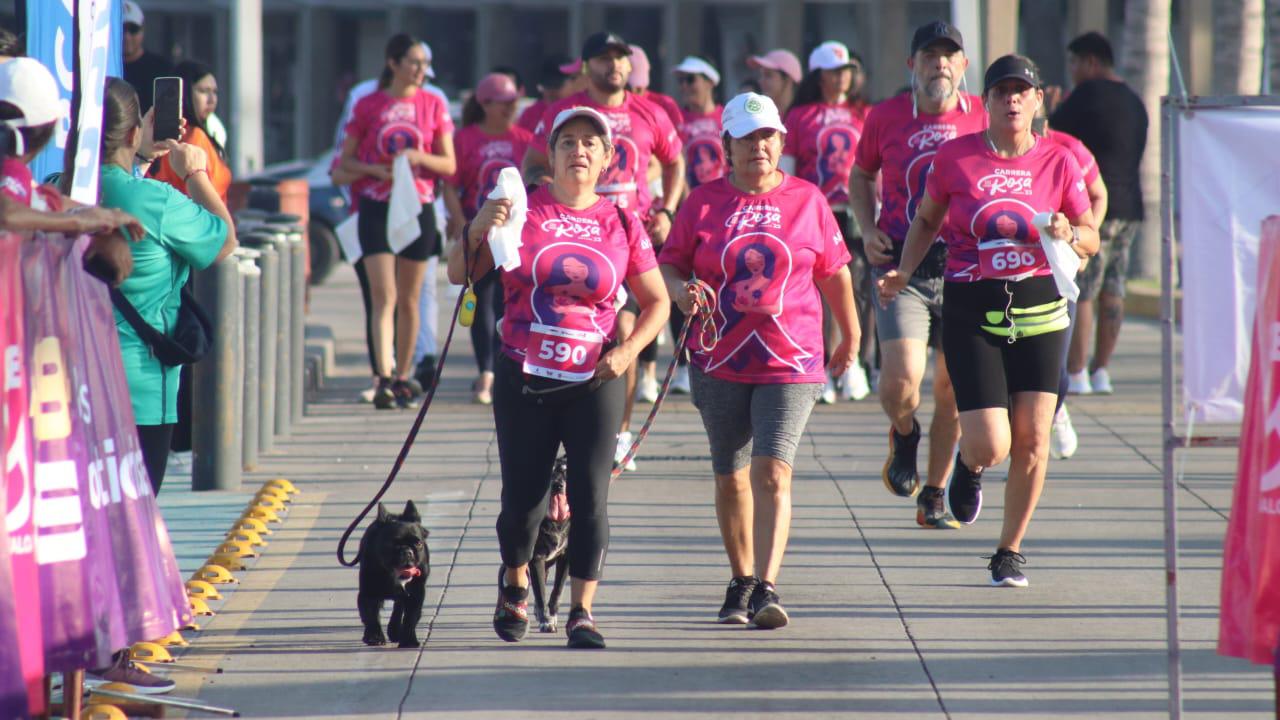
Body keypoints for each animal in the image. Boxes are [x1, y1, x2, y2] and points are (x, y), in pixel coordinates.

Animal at [360, 499, 430, 645]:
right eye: (393, 543)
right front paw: (374, 637)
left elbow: (411, 617)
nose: (407, 551)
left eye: (419, 544)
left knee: (398, 608)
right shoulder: (368, 592)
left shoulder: (416, 594)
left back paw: (395, 630)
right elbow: (370, 615)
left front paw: (409, 640)